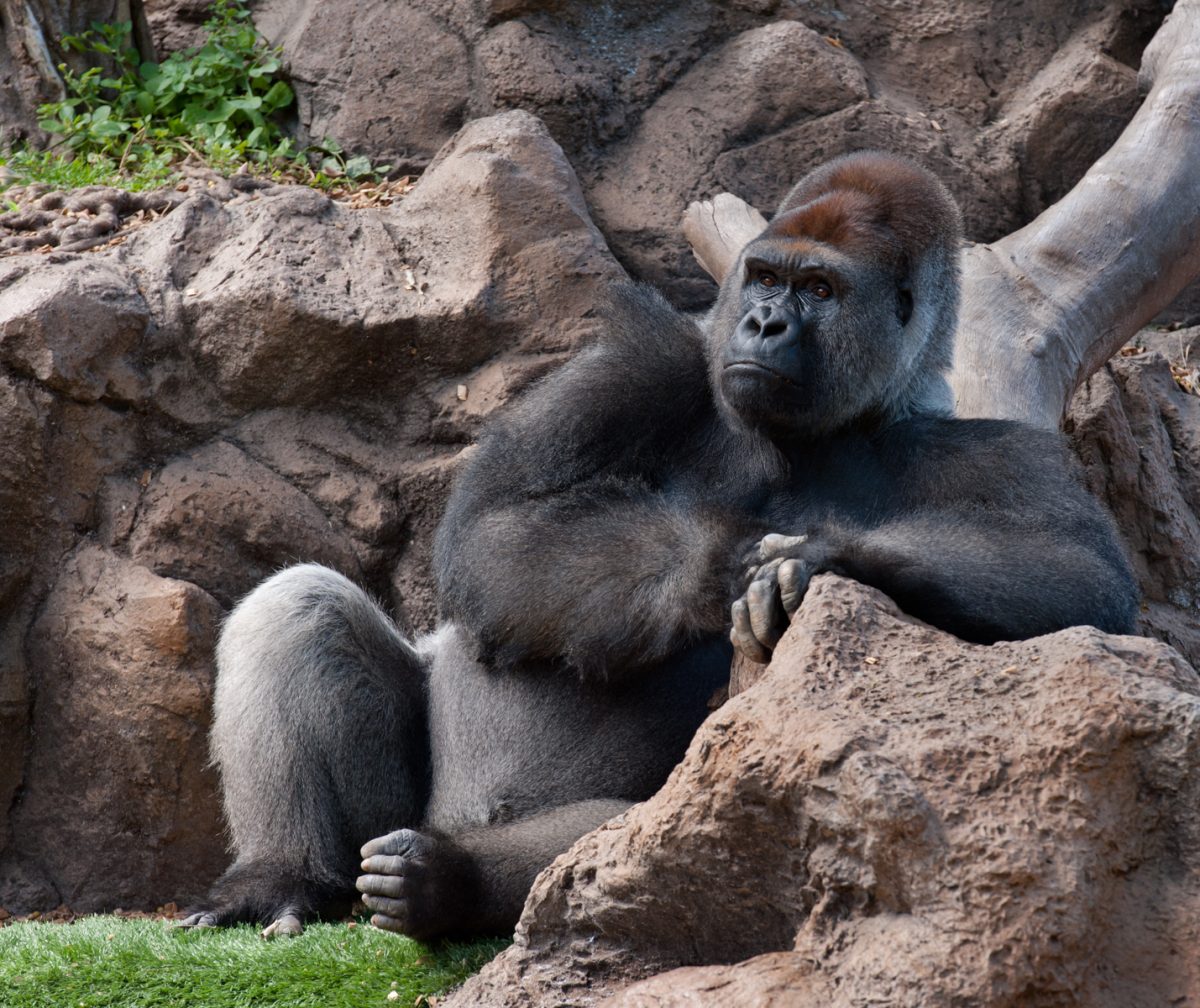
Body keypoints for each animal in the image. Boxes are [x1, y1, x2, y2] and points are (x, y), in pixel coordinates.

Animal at [181, 151, 1136, 941]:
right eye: (765, 276)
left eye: (820, 291)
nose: (763, 325)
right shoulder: (647, 363)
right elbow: (495, 529)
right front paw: (722, 563)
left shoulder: (979, 438)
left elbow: (1086, 583)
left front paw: (825, 556)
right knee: (299, 605)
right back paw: (282, 876)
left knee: (637, 835)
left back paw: (448, 886)